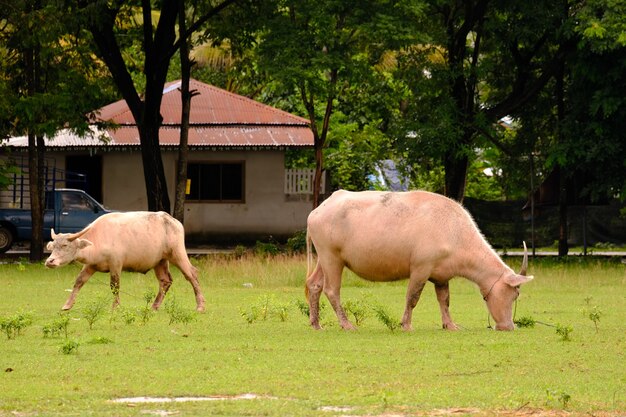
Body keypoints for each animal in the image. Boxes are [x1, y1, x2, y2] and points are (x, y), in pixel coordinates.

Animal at [44, 213, 205, 310]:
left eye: (65, 245)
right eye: (53, 246)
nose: (50, 261)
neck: (98, 241)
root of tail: (173, 221)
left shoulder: (116, 264)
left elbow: (114, 286)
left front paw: (115, 306)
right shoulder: (90, 265)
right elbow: (79, 281)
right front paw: (67, 305)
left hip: (177, 253)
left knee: (192, 274)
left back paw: (200, 306)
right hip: (160, 261)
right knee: (165, 281)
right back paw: (154, 306)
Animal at [304, 190, 532, 330]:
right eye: (514, 295)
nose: (509, 326)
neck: (455, 232)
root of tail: (318, 209)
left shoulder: (442, 276)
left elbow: (445, 300)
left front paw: (450, 325)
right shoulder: (420, 269)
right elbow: (412, 298)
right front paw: (406, 325)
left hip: (324, 259)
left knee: (315, 285)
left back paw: (316, 324)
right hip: (331, 257)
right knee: (332, 291)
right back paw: (347, 324)